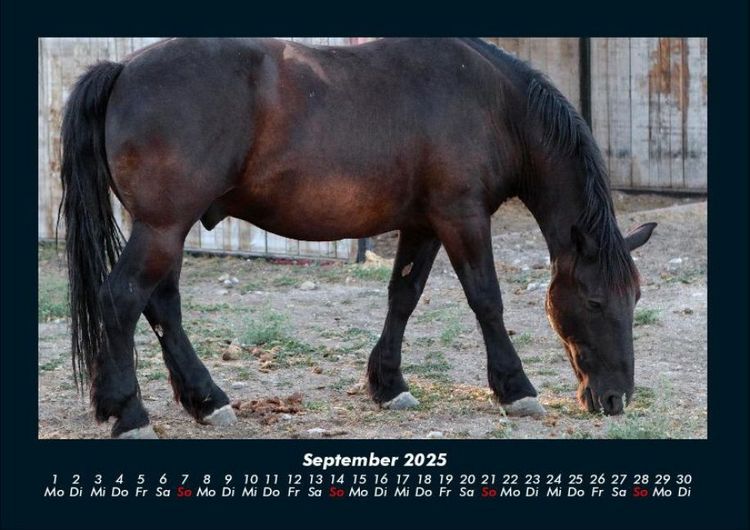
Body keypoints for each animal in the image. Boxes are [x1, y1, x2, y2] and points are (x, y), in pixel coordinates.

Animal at [59, 37, 656, 439]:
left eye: (635, 298)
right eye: (595, 300)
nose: (614, 398)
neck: (493, 104)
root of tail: (123, 68)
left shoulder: (423, 224)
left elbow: (403, 297)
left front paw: (389, 385)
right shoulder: (461, 218)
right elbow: (487, 300)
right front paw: (517, 389)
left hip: (167, 230)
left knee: (161, 306)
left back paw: (205, 400)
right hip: (162, 228)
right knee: (122, 300)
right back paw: (129, 412)